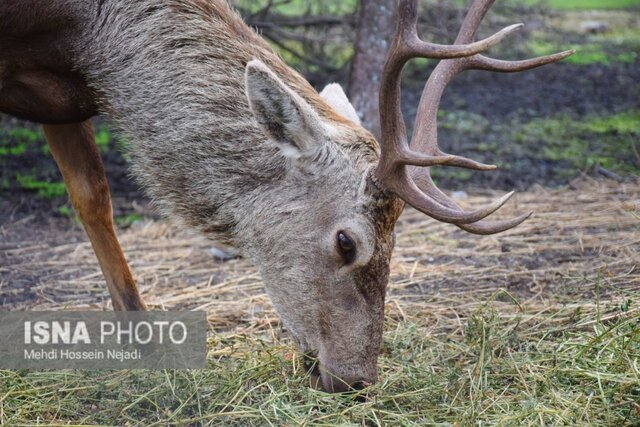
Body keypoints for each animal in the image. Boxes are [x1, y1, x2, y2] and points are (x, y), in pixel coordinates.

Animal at [0, 0, 568, 394]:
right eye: (346, 242)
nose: (357, 380)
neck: (73, 32)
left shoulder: (62, 100)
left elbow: (92, 197)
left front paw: (145, 345)